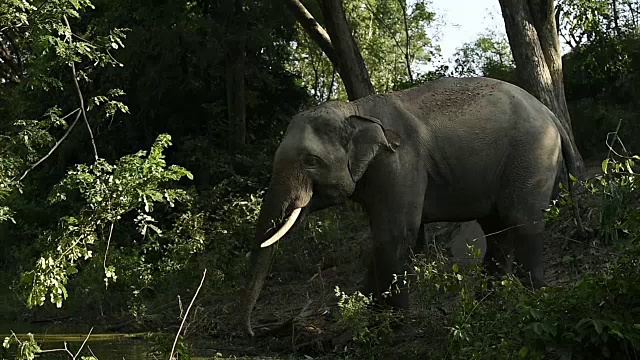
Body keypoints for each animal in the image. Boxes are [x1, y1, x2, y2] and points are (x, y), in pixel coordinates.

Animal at [239, 75, 580, 334]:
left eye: (310, 161)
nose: (256, 331)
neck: (354, 109)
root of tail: (550, 114)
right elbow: (381, 237)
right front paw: (369, 315)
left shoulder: (400, 163)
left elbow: (396, 234)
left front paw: (395, 324)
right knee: (496, 227)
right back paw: (489, 300)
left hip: (532, 154)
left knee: (522, 219)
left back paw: (532, 297)